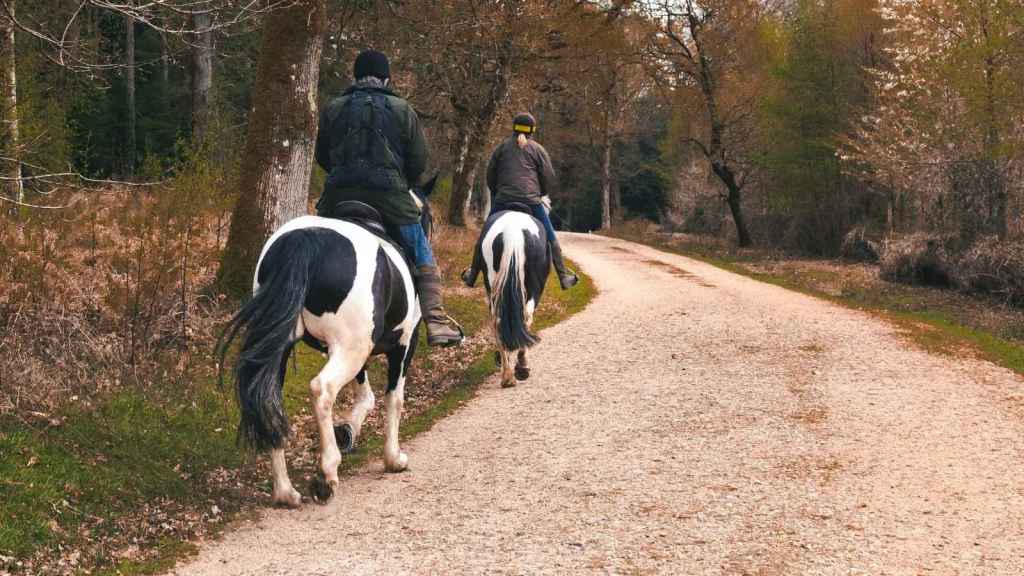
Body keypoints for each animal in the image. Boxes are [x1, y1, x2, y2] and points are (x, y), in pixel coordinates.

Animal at [217, 178, 436, 507]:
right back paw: (326, 474)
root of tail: (306, 240)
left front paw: (348, 430)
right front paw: (393, 458)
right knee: (323, 389)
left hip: (285, 347)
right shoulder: (403, 345)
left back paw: (285, 491)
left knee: (269, 399)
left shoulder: (358, 349)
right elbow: (393, 399)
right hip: (350, 349)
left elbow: (366, 395)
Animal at [472, 205, 552, 388]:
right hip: (533, 287)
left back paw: (507, 375)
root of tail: (512, 232)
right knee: (526, 316)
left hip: (494, 285)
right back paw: (521, 368)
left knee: (497, 319)